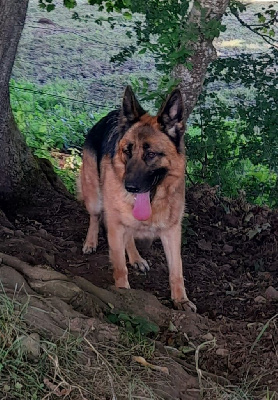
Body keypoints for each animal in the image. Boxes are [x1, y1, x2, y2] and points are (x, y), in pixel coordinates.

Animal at [78, 86, 195, 312]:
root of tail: (113, 113)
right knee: (95, 217)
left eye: (151, 154)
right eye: (127, 151)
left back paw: (136, 257)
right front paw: (123, 293)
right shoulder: (115, 225)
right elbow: (119, 266)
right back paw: (91, 241)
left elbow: (177, 270)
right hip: (95, 197)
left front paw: (181, 299)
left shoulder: (172, 231)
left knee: (129, 235)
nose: (129, 186)